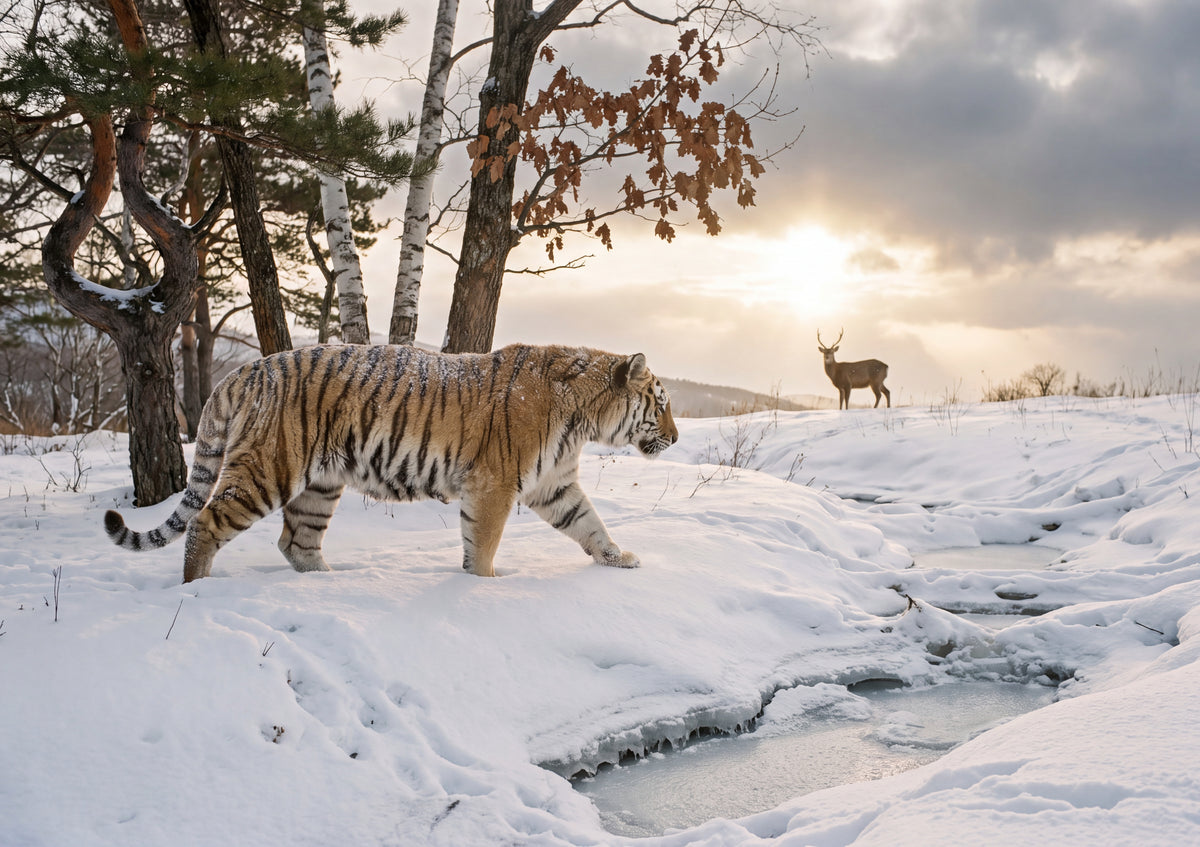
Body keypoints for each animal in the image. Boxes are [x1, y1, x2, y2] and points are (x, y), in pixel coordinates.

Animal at [104, 343, 678, 582]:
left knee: (296, 543)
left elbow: (590, 525)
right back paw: (197, 589)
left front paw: (620, 559)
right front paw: (485, 586)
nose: (674, 438)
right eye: (662, 403)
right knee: (204, 523)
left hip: (320, 485)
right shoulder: (494, 485)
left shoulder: (554, 484)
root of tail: (242, 372)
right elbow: (484, 545)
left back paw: (328, 582)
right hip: (269, 469)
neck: (582, 417)